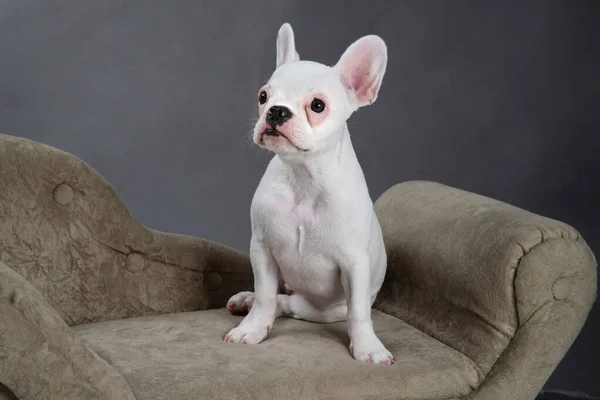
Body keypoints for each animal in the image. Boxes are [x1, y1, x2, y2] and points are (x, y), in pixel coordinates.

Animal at [225, 21, 394, 366]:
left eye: (318, 106)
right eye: (263, 96)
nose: (276, 112)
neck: (304, 176)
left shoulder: (355, 263)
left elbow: (359, 313)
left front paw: (368, 348)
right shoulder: (261, 248)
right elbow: (265, 294)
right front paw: (252, 328)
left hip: (322, 311)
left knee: (291, 305)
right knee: (274, 296)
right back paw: (246, 300)